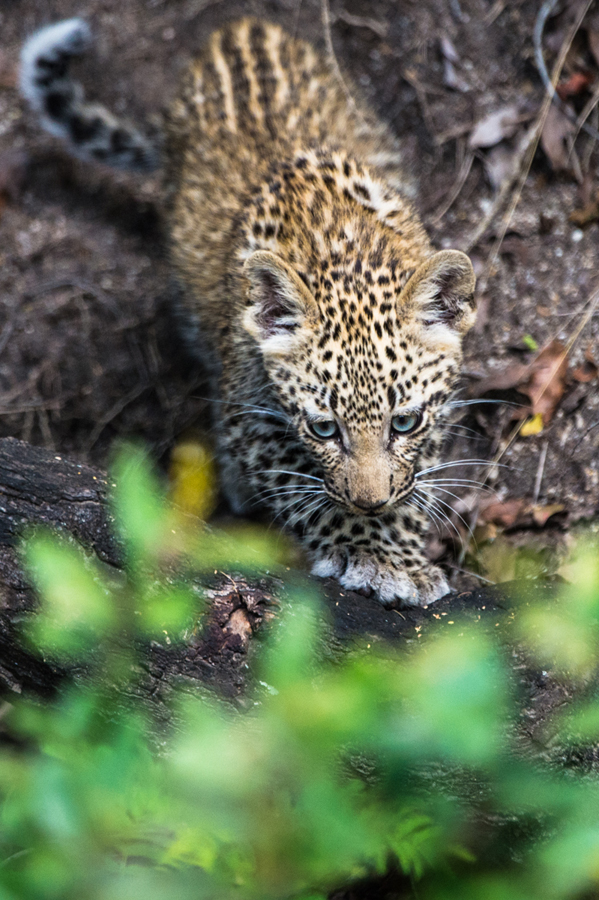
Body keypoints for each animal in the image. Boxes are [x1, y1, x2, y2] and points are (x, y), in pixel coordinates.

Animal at [20, 15, 476, 607]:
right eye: (324, 429)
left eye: (405, 422)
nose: (370, 502)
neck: (339, 243)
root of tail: (240, 26)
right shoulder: (250, 422)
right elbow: (308, 493)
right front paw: (373, 551)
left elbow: (414, 474)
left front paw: (399, 546)